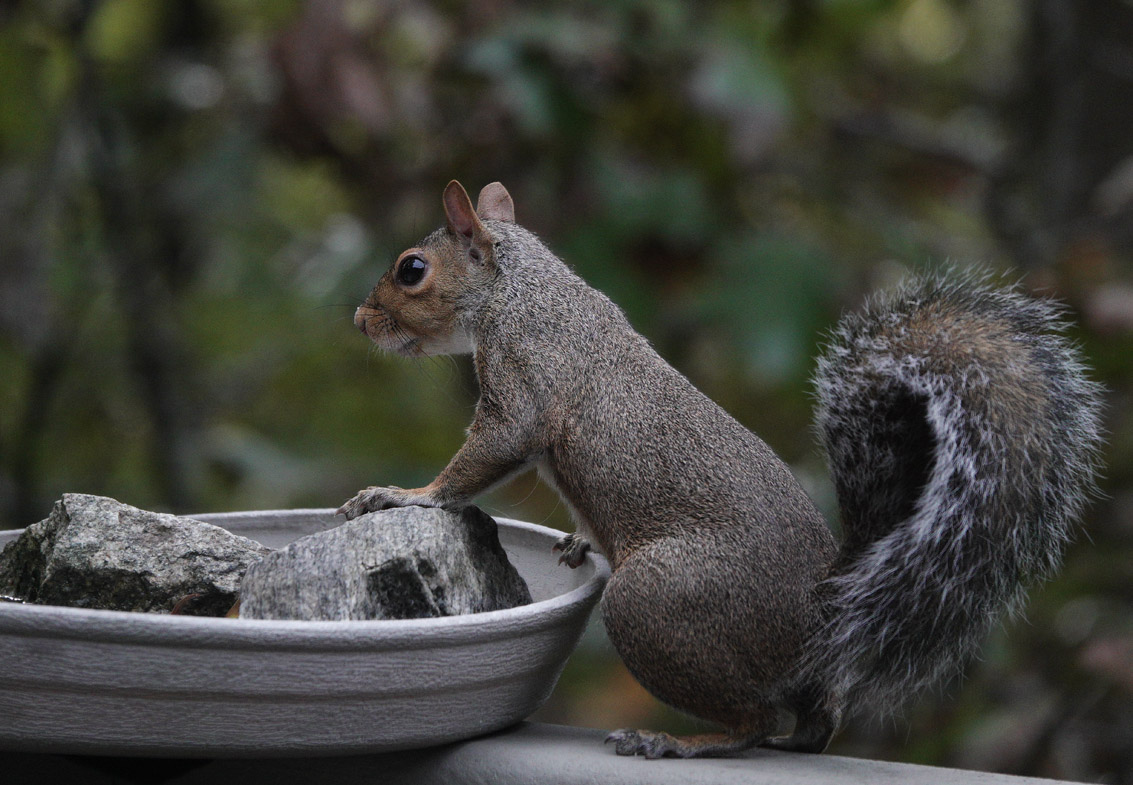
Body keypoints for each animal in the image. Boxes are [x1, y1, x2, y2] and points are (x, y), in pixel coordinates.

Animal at [339, 180, 1101, 756]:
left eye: (412, 269)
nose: (359, 320)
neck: (519, 289)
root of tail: (825, 618)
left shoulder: (521, 383)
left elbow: (483, 456)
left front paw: (403, 494)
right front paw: (580, 539)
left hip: (658, 601)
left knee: (753, 722)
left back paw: (676, 742)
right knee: (804, 729)